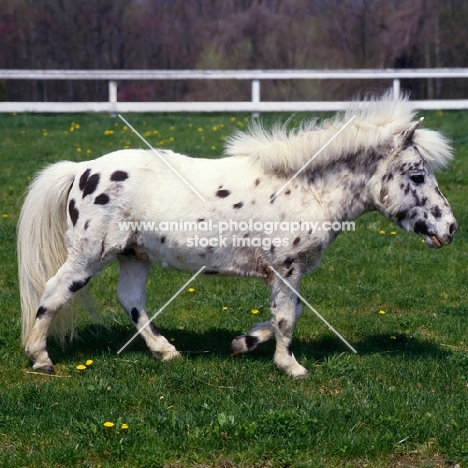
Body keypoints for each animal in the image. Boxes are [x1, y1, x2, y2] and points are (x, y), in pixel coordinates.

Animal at [17, 90, 458, 376]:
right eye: (417, 175)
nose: (450, 228)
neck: (306, 189)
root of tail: (82, 169)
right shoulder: (286, 268)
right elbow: (287, 318)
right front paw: (291, 367)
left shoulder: (284, 273)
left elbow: (288, 313)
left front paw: (242, 344)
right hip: (90, 255)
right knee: (53, 292)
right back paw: (40, 358)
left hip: (134, 256)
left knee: (131, 301)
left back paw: (167, 352)